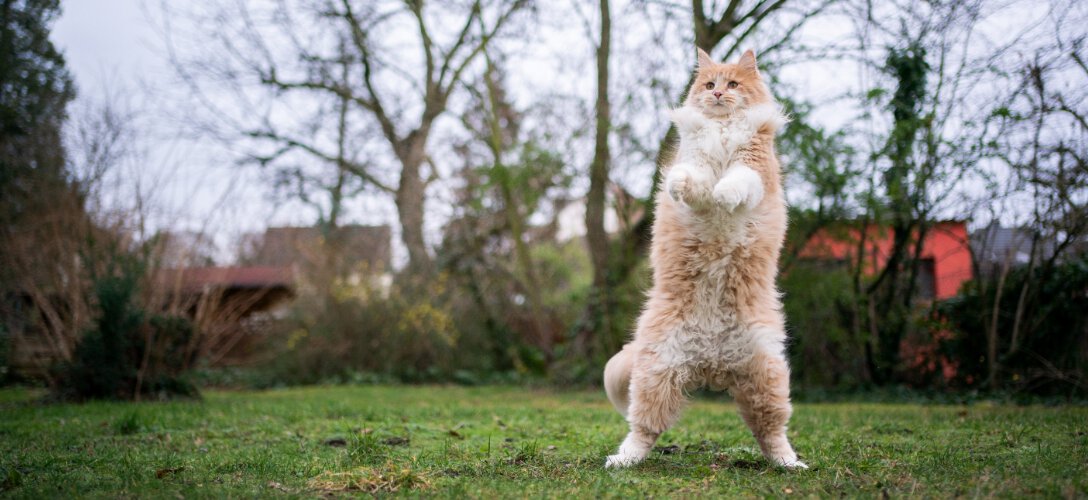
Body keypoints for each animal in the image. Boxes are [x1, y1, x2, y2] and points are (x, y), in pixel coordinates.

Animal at [600, 46, 805, 469]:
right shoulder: (694, 160)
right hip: (657, 373)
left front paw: (723, 195)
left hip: (766, 377)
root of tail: (712, 363)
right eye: (710, 85)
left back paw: (792, 464)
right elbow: (690, 178)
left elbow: (737, 182)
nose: (718, 94)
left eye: (733, 84)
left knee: (773, 434)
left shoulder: (754, 167)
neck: (722, 129)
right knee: (642, 431)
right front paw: (683, 187)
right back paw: (621, 461)